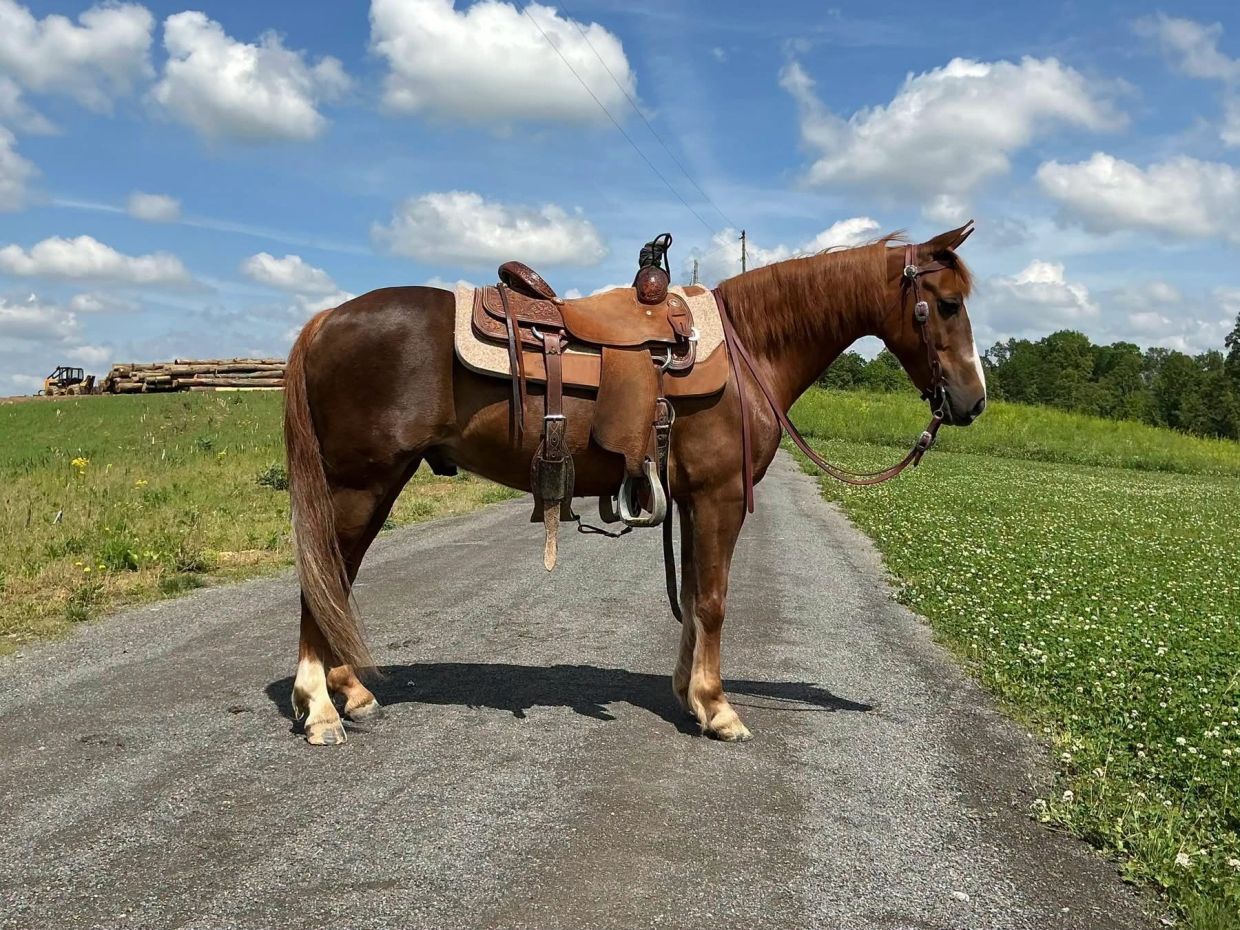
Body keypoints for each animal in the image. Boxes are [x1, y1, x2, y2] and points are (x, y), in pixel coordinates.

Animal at [282, 222, 986, 745]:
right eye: (948, 305)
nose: (972, 402)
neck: (748, 350)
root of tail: (326, 319)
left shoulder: (696, 502)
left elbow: (695, 596)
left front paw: (690, 696)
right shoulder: (722, 497)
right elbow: (713, 601)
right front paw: (719, 709)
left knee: (335, 581)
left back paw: (352, 693)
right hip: (358, 486)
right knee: (323, 582)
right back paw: (320, 709)